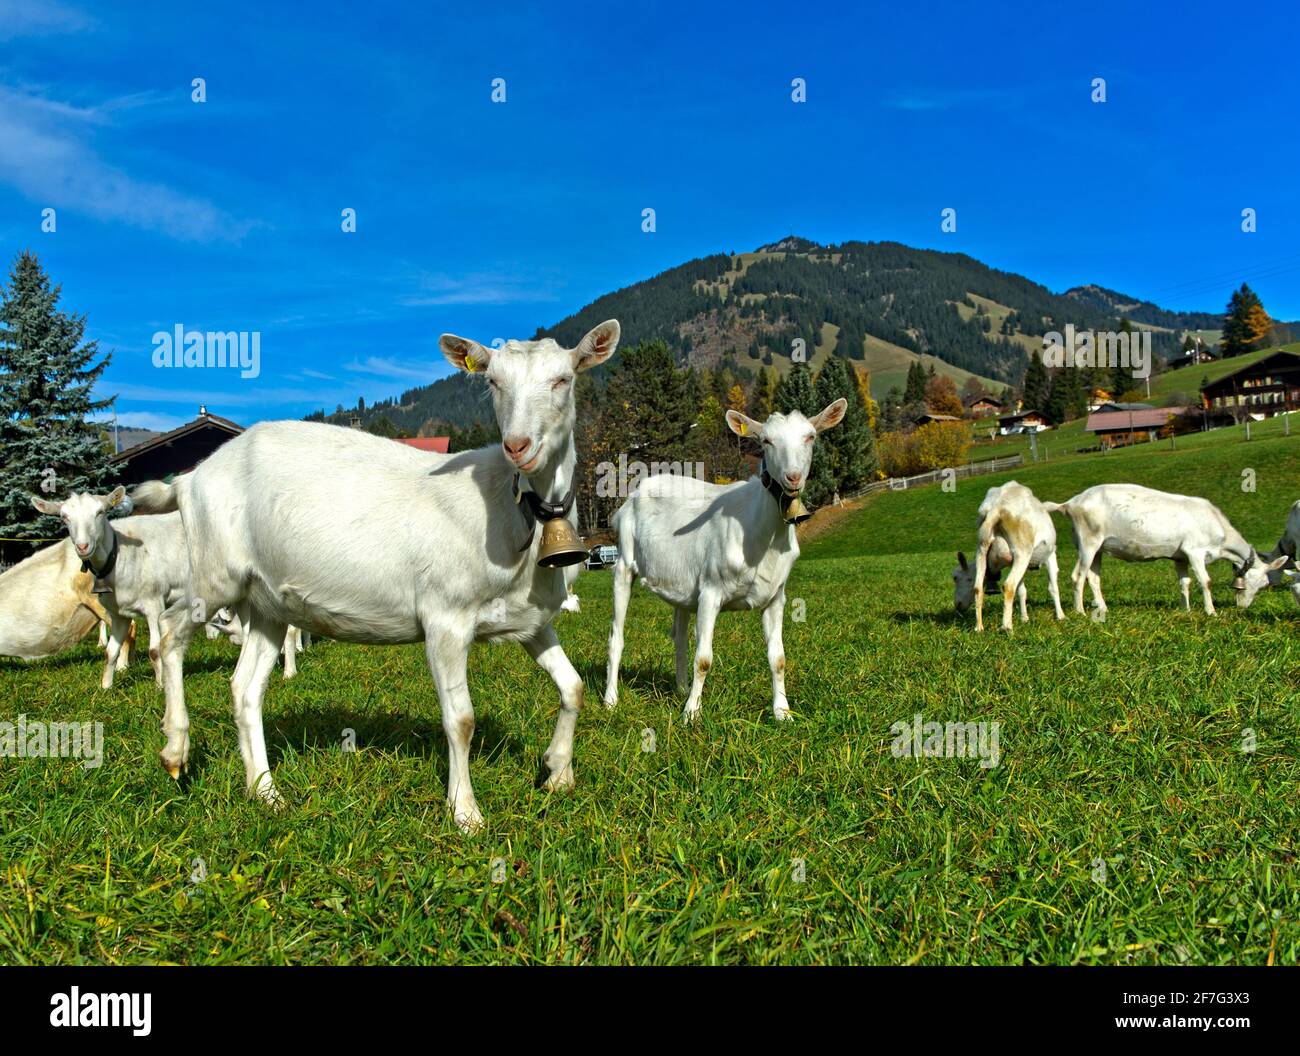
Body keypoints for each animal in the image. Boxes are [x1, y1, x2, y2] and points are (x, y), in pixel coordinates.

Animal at [30, 488, 189, 691]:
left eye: (100, 512)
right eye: (64, 517)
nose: (83, 547)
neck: (121, 556)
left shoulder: (154, 604)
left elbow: (154, 650)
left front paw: (160, 687)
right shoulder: (118, 613)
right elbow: (110, 652)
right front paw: (106, 687)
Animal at [131, 317, 618, 827]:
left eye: (563, 379)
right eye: (493, 382)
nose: (518, 446)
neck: (512, 507)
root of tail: (191, 477)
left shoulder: (530, 623)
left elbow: (574, 688)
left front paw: (558, 772)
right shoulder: (445, 616)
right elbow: (461, 719)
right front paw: (465, 813)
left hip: (267, 603)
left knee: (245, 690)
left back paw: (264, 791)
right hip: (215, 574)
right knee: (170, 632)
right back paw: (175, 747)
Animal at [600, 400, 847, 723]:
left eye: (811, 437)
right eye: (765, 441)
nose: (793, 478)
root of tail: (637, 491)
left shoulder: (776, 597)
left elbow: (778, 658)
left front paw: (782, 712)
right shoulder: (710, 590)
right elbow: (704, 658)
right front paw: (692, 714)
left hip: (681, 585)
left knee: (679, 636)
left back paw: (680, 689)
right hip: (624, 564)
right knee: (616, 636)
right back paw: (611, 700)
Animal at [956, 481, 1066, 634]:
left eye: (959, 578)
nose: (957, 605)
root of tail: (995, 508)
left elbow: (1022, 591)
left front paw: (1024, 618)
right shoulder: (1050, 555)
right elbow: (1053, 587)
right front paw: (1061, 616)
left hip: (982, 549)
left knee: (978, 587)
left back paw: (979, 627)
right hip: (1022, 552)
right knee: (1008, 586)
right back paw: (1007, 627)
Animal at [1050, 483, 1284, 613]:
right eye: (1259, 584)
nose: (1243, 607)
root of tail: (1071, 503)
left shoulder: (1180, 556)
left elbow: (1185, 582)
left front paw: (1185, 610)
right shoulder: (1194, 551)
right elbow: (1205, 581)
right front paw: (1211, 611)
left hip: (1097, 546)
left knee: (1093, 578)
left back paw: (1103, 608)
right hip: (1087, 542)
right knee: (1078, 576)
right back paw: (1080, 611)